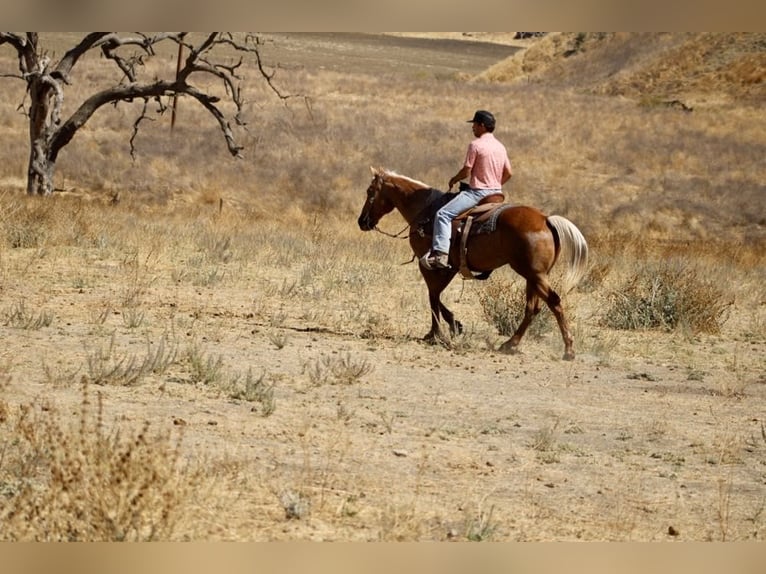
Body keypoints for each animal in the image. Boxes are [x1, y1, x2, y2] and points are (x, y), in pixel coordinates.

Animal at [357, 167, 589, 360]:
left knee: (554, 302)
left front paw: (436, 333)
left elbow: (432, 296)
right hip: (533, 276)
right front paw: (453, 325)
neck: (425, 212)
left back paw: (568, 349)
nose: (362, 222)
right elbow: (436, 296)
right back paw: (510, 344)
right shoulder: (449, 268)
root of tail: (545, 219)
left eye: (370, 191)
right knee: (533, 308)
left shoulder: (430, 265)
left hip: (534, 274)